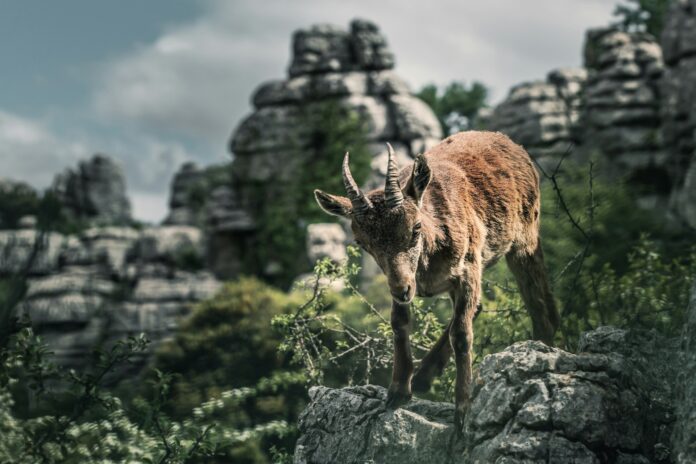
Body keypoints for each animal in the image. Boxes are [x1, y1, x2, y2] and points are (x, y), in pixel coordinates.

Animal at [314, 131, 559, 431]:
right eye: (362, 243)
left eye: (415, 227)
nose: (402, 290)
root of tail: (514, 146)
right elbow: (400, 323)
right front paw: (398, 391)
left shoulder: (468, 269)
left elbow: (462, 335)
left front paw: (462, 414)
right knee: (480, 307)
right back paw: (422, 377)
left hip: (524, 237)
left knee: (536, 297)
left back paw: (543, 343)